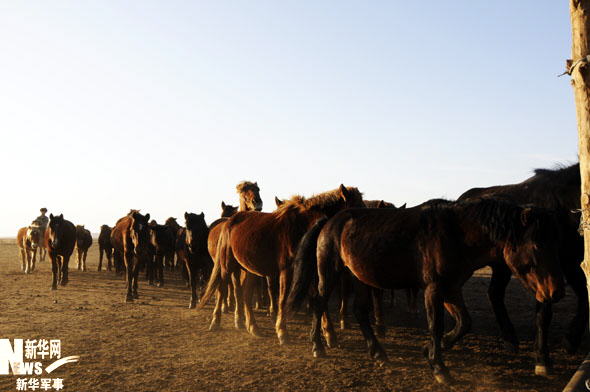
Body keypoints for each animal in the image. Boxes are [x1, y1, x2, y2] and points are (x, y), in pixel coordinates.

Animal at [200, 184, 366, 344]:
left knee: (245, 295)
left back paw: (253, 327)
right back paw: (215, 322)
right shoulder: (288, 270)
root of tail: (229, 221)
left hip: (250, 270)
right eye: (357, 209)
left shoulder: (311, 273)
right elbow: (283, 298)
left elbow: (320, 300)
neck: (304, 226)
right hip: (227, 266)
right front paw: (282, 332)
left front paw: (330, 335)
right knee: (222, 289)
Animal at [290, 198, 568, 384]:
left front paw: (431, 349)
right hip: (330, 273)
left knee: (360, 312)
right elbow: (436, 325)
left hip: (359, 278)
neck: (456, 234)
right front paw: (439, 368)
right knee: (318, 303)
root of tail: (330, 221)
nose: (556, 292)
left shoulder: (452, 288)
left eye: (556, 243)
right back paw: (318, 347)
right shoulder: (434, 290)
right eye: (536, 245)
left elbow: (464, 323)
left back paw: (378, 353)